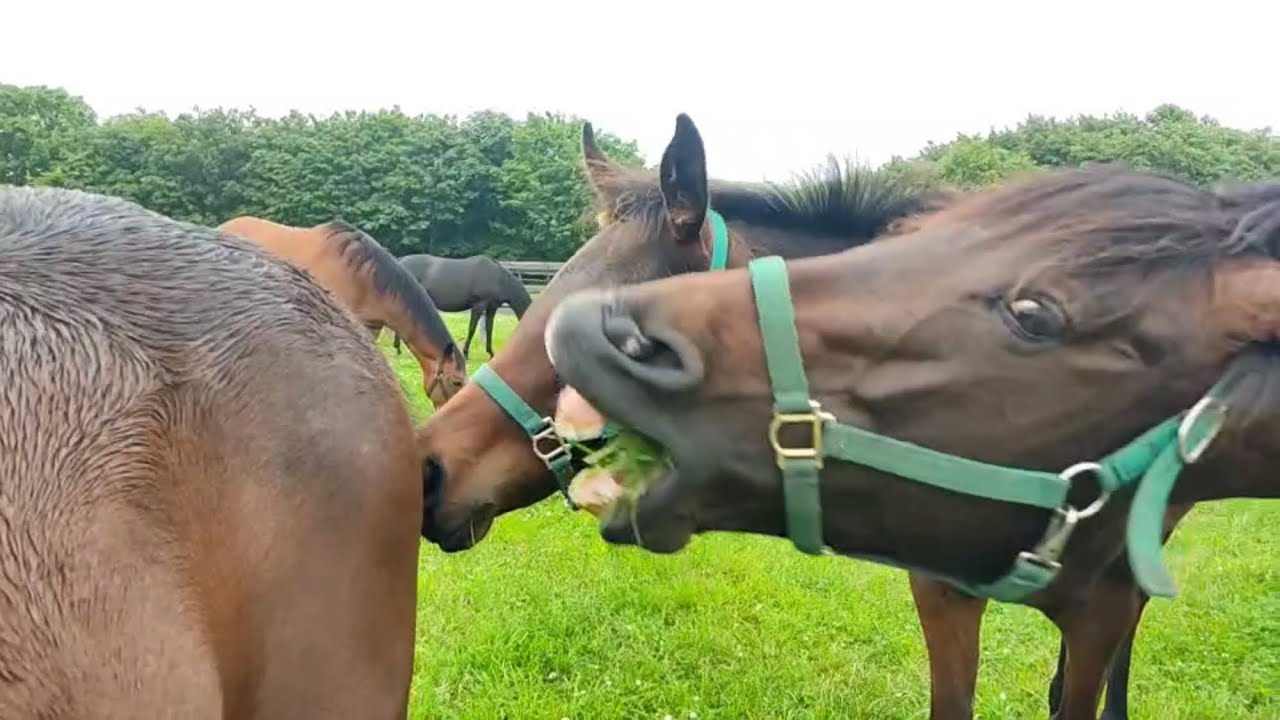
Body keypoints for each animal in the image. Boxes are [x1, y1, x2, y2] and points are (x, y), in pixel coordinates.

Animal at [392, 253, 533, 359]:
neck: (499, 280)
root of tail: (400, 262)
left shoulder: (492, 308)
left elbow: (489, 329)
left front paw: (491, 353)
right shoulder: (479, 305)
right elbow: (472, 329)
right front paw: (465, 353)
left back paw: (399, 348)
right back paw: (399, 349)